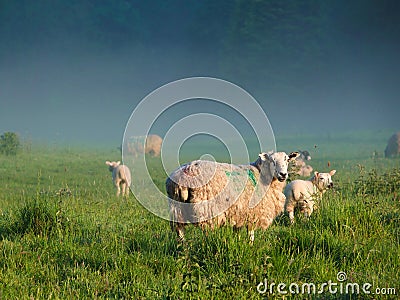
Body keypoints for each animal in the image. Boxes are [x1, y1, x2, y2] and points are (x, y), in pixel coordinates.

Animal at [166, 151, 300, 243]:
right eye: (272, 160)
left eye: (287, 160)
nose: (283, 174)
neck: (262, 176)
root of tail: (186, 173)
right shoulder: (253, 212)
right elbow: (250, 234)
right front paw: (250, 246)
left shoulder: (240, 212)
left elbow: (237, 232)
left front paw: (238, 243)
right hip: (207, 207)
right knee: (206, 230)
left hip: (177, 206)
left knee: (179, 230)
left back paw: (184, 248)